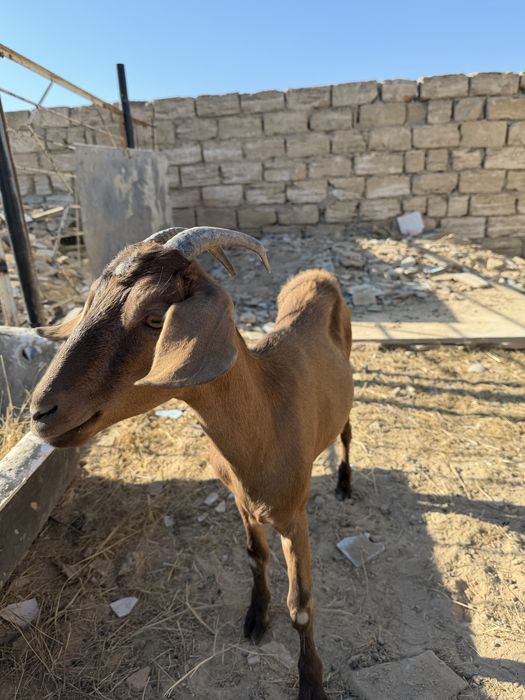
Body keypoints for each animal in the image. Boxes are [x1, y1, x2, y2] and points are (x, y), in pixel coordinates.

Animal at [31, 226, 354, 700]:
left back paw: (346, 483)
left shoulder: (294, 516)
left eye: (154, 319)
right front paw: (256, 617)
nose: (41, 412)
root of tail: (318, 273)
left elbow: (302, 608)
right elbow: (254, 556)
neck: (266, 419)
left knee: (347, 431)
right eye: (90, 302)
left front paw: (311, 682)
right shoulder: (241, 501)